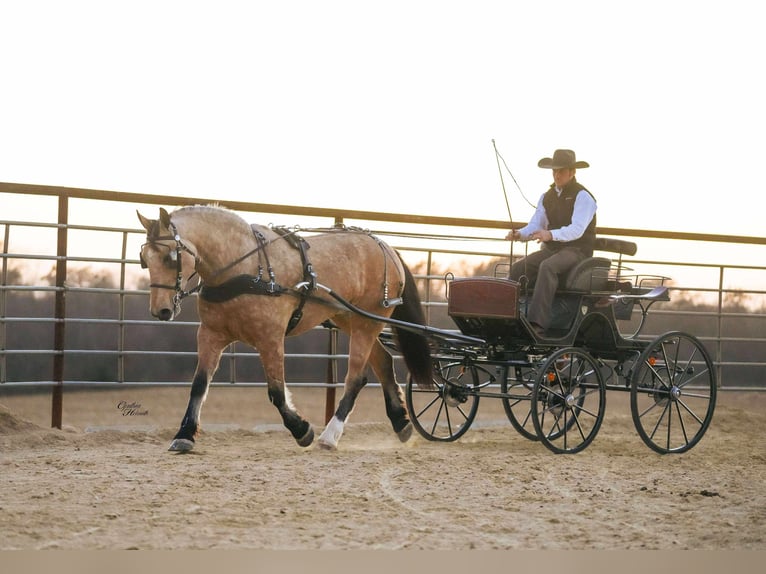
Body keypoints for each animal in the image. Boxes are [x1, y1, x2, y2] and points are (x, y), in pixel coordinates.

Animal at [137, 205, 433, 452]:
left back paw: (330, 435)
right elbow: (199, 385)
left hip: (368, 321)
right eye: (144, 259)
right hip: (349, 318)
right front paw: (184, 434)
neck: (244, 268)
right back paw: (401, 423)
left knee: (355, 377)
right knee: (381, 362)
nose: (161, 310)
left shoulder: (271, 338)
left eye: (170, 257)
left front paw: (302, 430)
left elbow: (277, 392)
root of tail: (386, 247)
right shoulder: (210, 334)